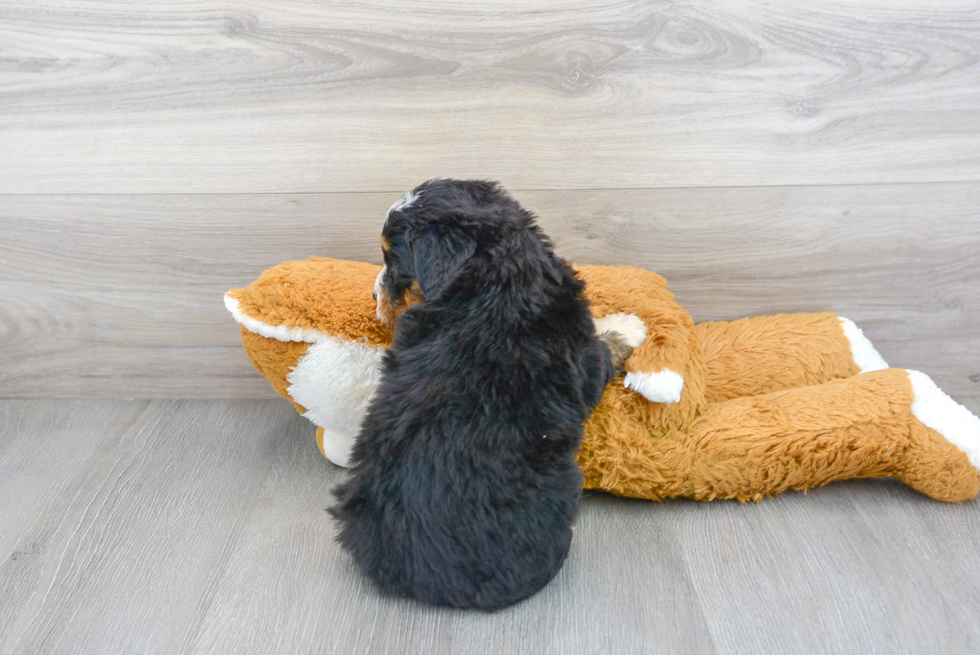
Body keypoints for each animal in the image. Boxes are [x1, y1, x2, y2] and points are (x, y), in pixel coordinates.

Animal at [334, 179, 628, 608]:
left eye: (392, 263)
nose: (374, 298)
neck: (495, 273)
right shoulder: (586, 360)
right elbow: (604, 348)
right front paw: (626, 330)